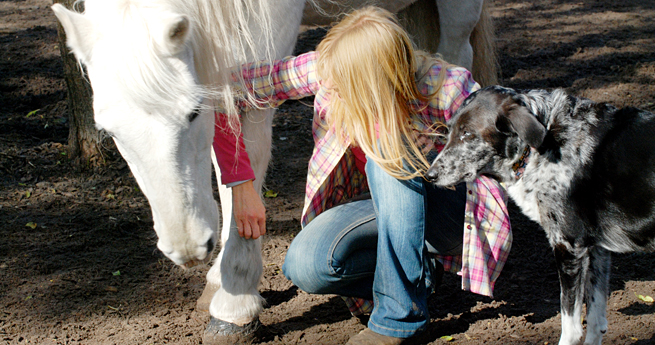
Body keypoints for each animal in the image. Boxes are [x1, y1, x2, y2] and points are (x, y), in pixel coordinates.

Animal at [52, 0, 498, 342]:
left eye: (193, 112)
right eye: (108, 130)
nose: (187, 248)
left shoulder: (252, 61)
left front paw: (234, 305)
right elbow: (230, 174)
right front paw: (218, 280)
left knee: (455, 53)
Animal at [428, 85, 655, 344]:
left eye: (467, 133)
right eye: (449, 130)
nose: (430, 175)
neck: (539, 149)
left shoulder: (568, 248)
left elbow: (571, 329)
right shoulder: (597, 250)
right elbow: (596, 321)